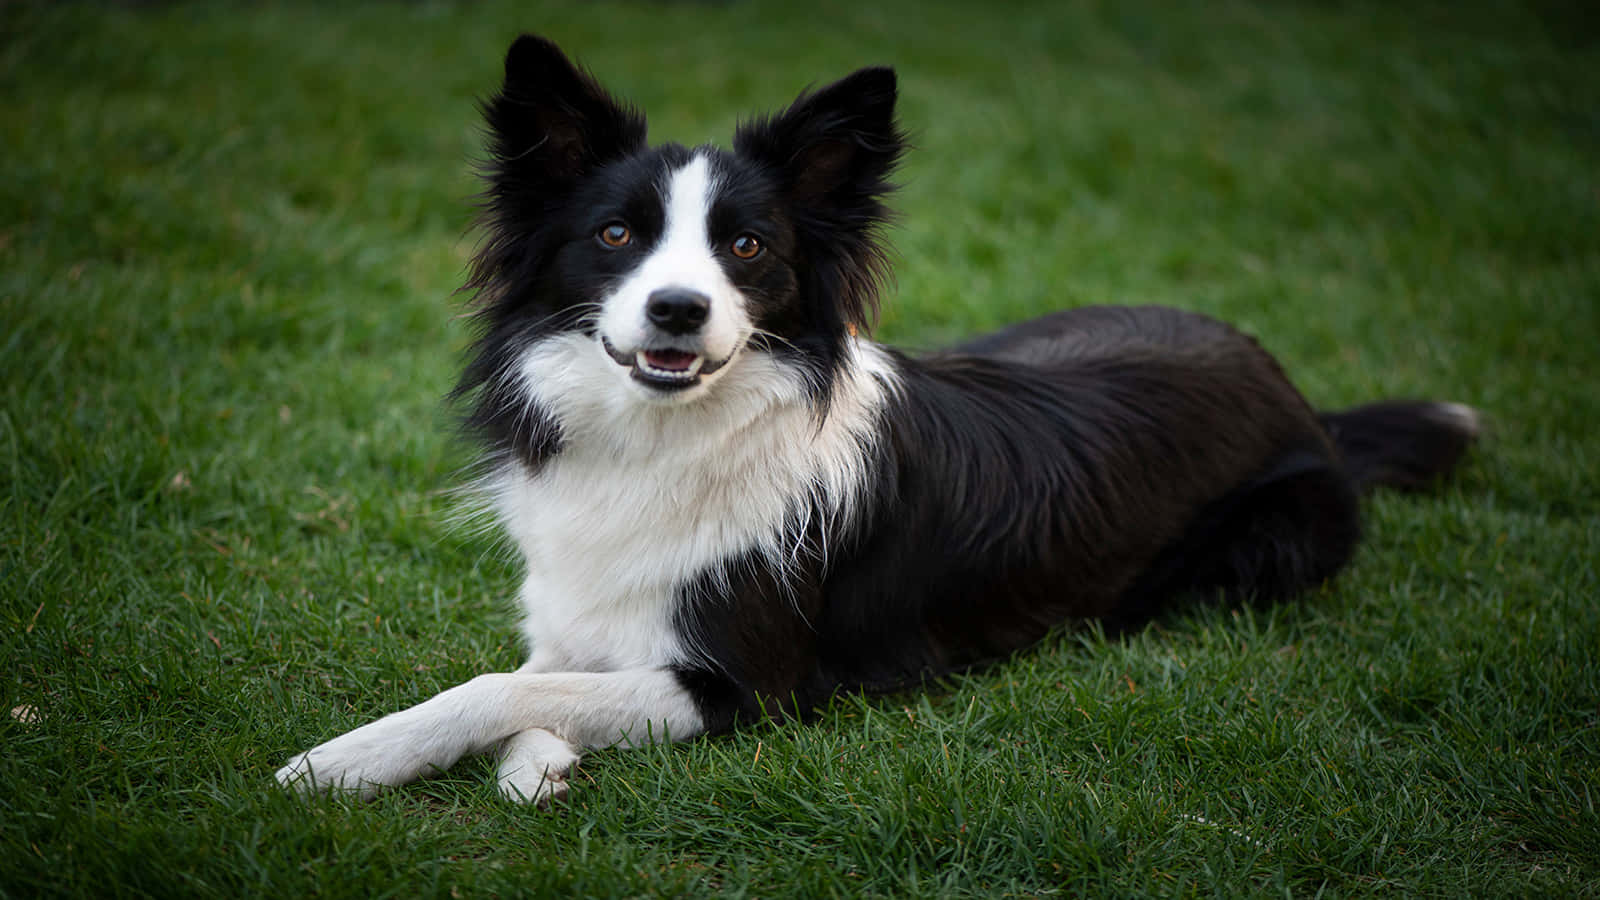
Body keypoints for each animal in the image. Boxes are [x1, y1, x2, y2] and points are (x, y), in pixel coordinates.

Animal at [272, 36, 1472, 807]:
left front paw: (339, 764)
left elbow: (492, 687)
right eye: (615, 235)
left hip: (1270, 545)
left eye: (747, 246)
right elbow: (540, 677)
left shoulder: (748, 686)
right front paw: (535, 763)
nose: (678, 309)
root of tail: (1291, 387)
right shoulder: (579, 614)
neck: (669, 437)